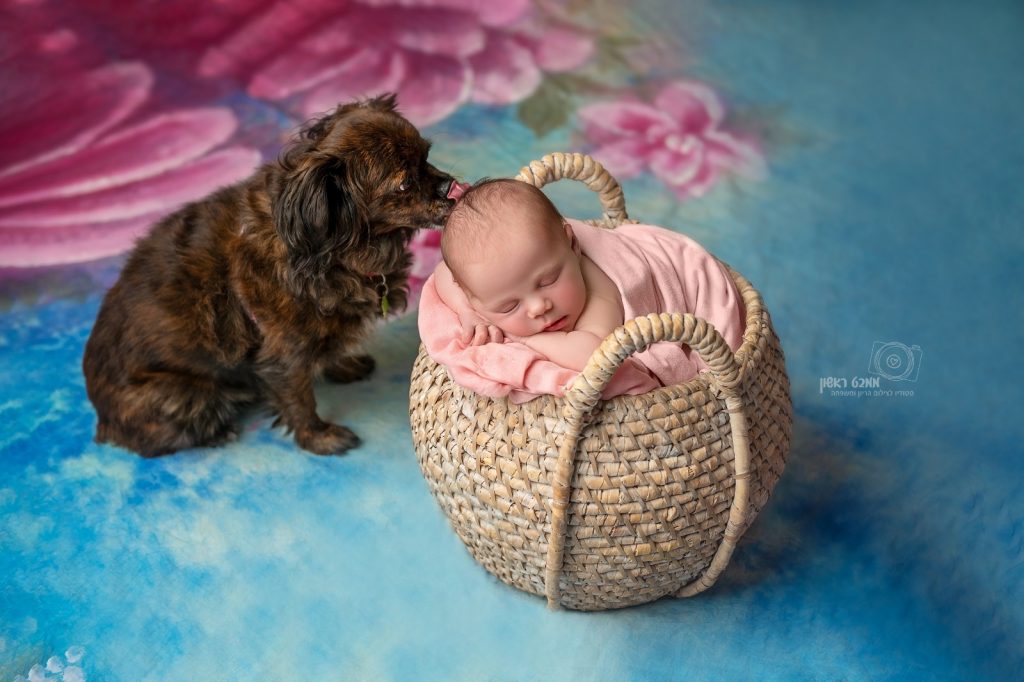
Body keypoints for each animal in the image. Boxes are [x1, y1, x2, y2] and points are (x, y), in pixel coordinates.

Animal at [81, 94, 458, 456]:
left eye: (427, 155)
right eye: (404, 184)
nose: (448, 185)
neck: (333, 248)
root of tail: (103, 421)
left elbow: (327, 350)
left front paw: (342, 365)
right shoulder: (284, 354)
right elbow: (300, 399)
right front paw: (319, 438)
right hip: (186, 395)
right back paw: (218, 433)